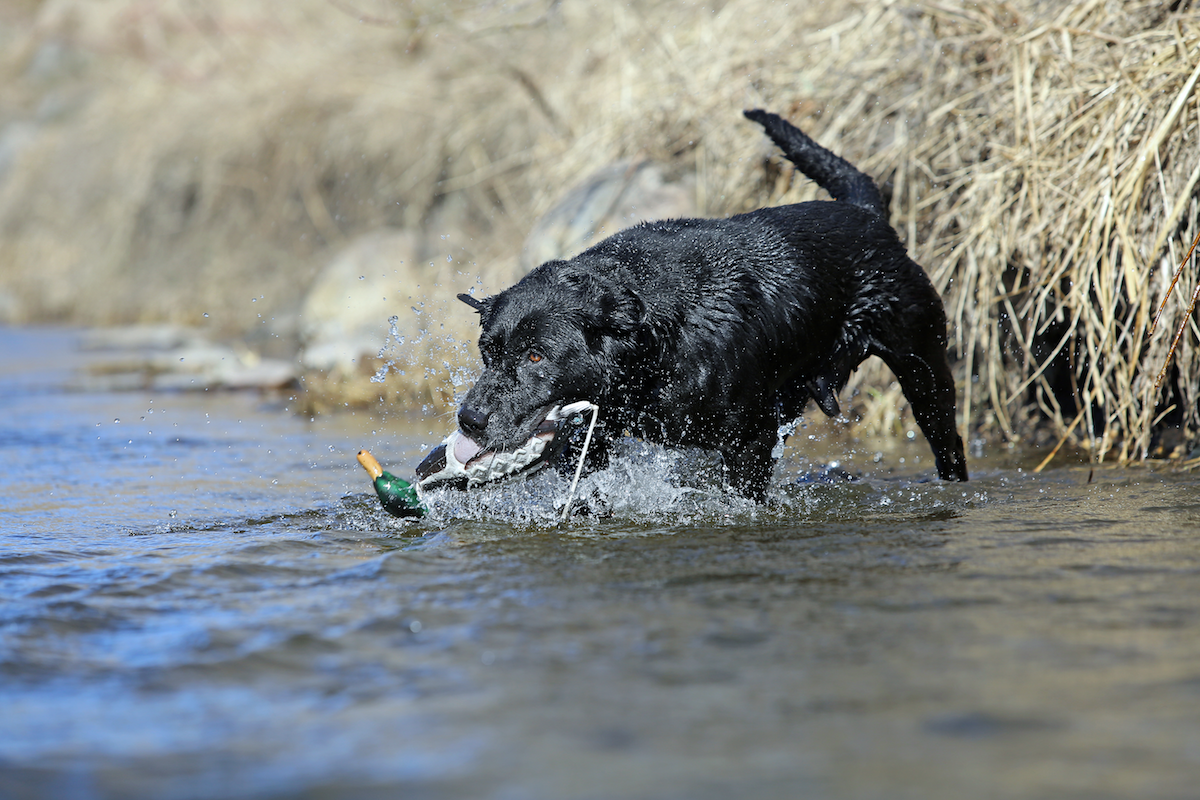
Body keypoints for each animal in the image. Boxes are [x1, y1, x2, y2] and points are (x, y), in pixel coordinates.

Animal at [451, 109, 964, 496]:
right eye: (487, 352)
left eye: (536, 356)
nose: (469, 419)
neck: (659, 344)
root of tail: (866, 212)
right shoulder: (594, 436)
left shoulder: (750, 439)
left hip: (923, 369)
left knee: (949, 440)